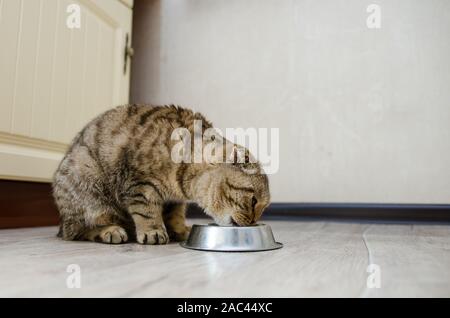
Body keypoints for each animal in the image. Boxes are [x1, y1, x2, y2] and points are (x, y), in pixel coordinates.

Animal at [52, 104, 270, 243]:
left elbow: (174, 215)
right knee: (76, 231)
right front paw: (153, 231)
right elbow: (146, 211)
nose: (253, 223)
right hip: (90, 192)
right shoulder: (140, 184)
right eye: (253, 201)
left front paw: (179, 230)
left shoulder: (174, 200)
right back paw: (110, 231)